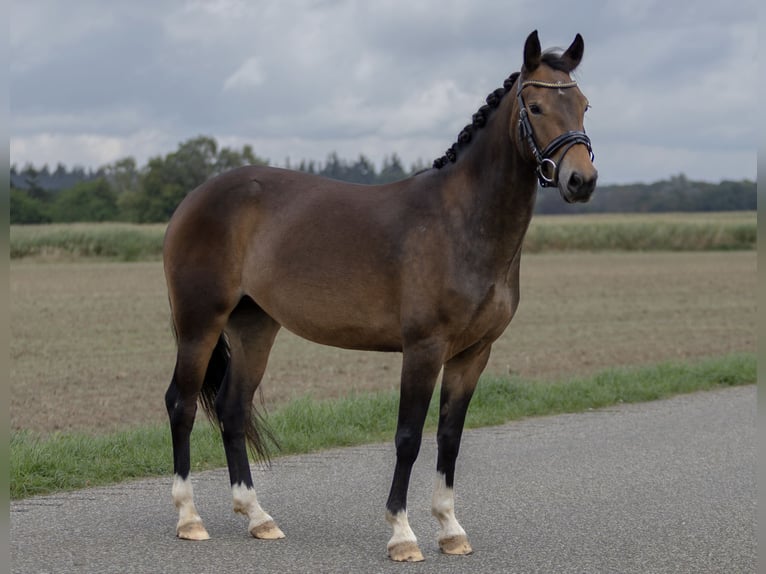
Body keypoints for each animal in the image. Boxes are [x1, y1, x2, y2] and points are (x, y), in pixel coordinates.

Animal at [162, 29, 597, 562]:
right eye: (535, 106)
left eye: (583, 104)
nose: (581, 180)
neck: (462, 223)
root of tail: (194, 198)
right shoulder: (424, 348)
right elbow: (408, 437)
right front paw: (402, 535)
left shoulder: (474, 353)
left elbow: (449, 437)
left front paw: (450, 529)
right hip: (200, 323)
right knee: (181, 404)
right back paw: (189, 518)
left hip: (254, 327)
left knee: (232, 408)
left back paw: (258, 517)